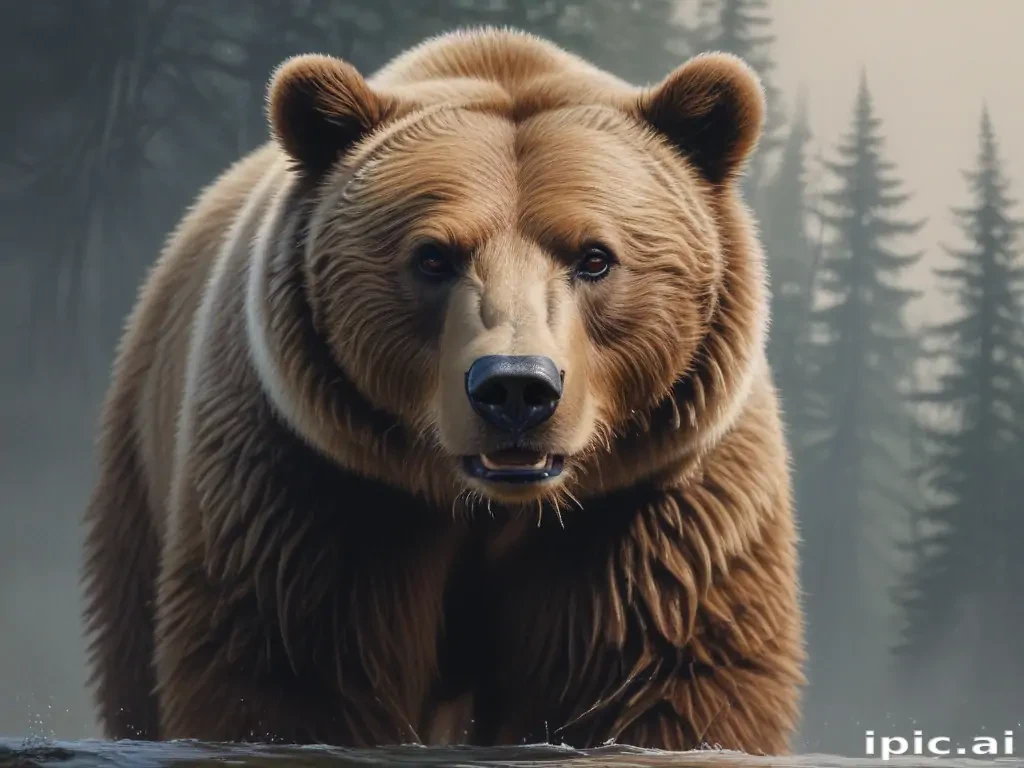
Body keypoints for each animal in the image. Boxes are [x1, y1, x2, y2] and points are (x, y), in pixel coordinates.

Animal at [81, 27, 804, 753]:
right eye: (432, 256)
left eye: (595, 256)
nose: (516, 388)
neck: (491, 506)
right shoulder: (314, 484)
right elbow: (292, 671)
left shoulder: (648, 505)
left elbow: (658, 675)